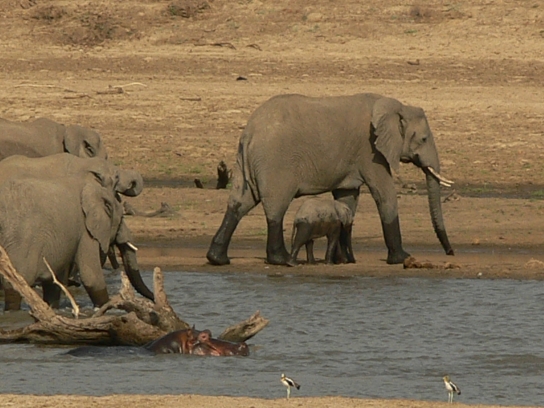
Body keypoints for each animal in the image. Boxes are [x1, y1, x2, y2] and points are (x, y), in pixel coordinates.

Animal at [0, 155, 154, 311]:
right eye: (122, 217)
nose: (153, 299)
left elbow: (54, 283)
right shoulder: (85, 230)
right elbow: (92, 277)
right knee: (15, 286)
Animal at [207, 93, 454, 266]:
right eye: (423, 139)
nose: (450, 252)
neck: (395, 107)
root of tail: (248, 133)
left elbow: (347, 199)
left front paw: (341, 261)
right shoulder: (370, 150)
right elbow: (384, 194)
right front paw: (402, 258)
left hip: (245, 162)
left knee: (239, 202)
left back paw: (217, 259)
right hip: (275, 162)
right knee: (276, 207)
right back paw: (281, 259)